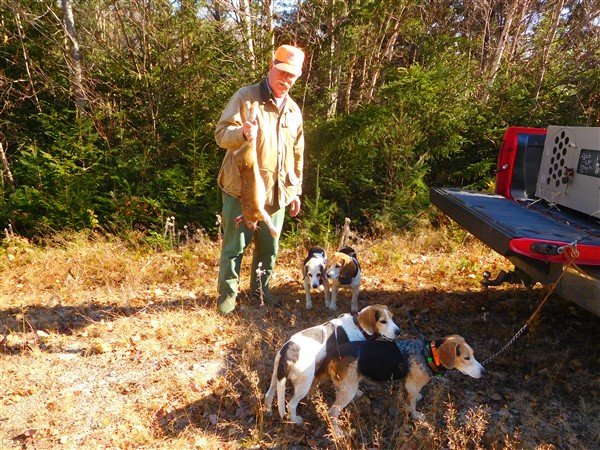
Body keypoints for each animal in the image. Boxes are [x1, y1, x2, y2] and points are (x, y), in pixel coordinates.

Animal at [264, 302, 400, 426]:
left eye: (392, 317)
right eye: (383, 321)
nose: (399, 332)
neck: (359, 327)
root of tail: (288, 351)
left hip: (277, 376)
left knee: (269, 394)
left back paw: (268, 411)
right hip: (304, 383)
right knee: (291, 405)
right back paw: (296, 421)